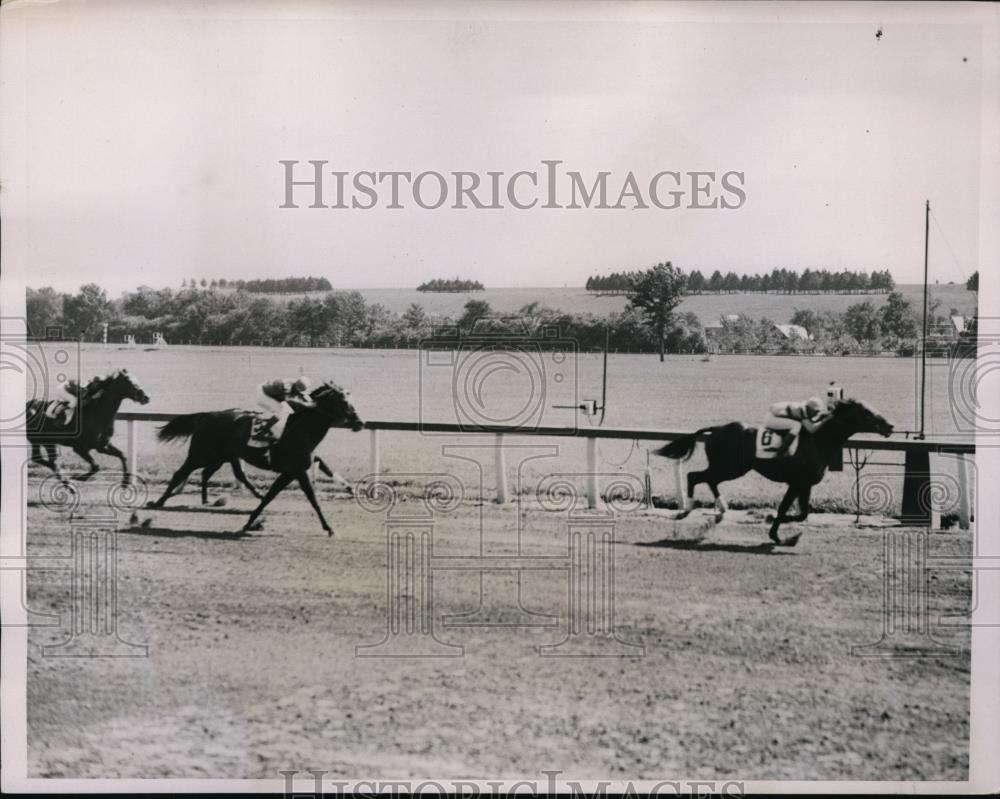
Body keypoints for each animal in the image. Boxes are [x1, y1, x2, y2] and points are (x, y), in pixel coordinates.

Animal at [148, 382, 364, 536]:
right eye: (344, 402)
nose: (360, 423)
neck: (302, 430)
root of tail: (206, 416)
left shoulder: (289, 472)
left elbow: (270, 496)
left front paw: (250, 522)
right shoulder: (298, 471)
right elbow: (313, 499)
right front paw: (329, 528)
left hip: (221, 456)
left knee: (215, 473)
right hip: (201, 454)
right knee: (180, 472)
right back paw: (159, 501)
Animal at [652, 398, 896, 548]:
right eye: (866, 413)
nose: (890, 426)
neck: (818, 441)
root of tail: (716, 429)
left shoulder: (805, 484)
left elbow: (802, 514)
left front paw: (783, 533)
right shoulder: (796, 483)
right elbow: (784, 510)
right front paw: (777, 531)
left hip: (729, 468)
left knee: (708, 479)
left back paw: (720, 509)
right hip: (731, 468)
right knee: (695, 476)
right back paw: (686, 509)